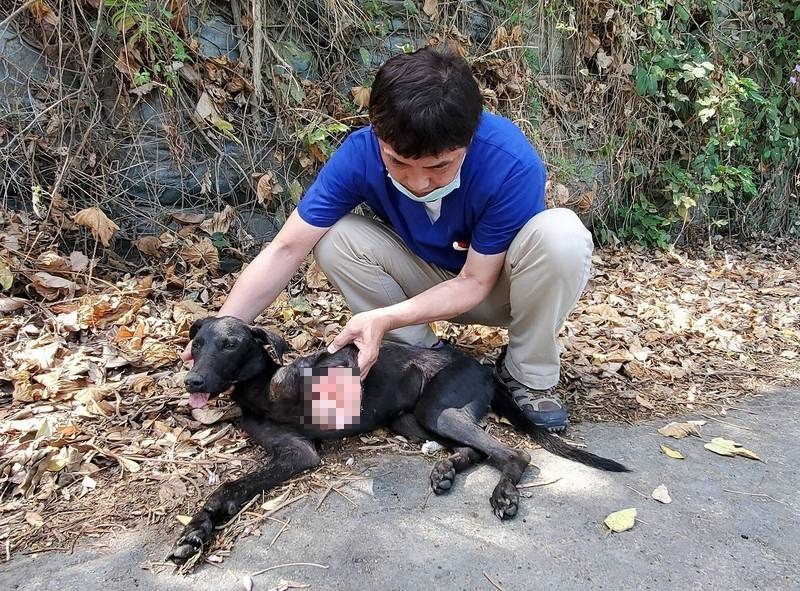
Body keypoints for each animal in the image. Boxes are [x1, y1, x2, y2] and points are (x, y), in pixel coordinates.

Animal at [170, 320, 632, 564]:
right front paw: (195, 532)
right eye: (196, 344)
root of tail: (484, 368)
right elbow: (228, 489)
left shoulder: (301, 438)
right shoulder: (292, 452)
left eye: (230, 344)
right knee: (474, 450)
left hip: (439, 411)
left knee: (512, 452)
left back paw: (504, 494)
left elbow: (306, 364)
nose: (192, 381)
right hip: (412, 420)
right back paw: (444, 471)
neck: (258, 391)